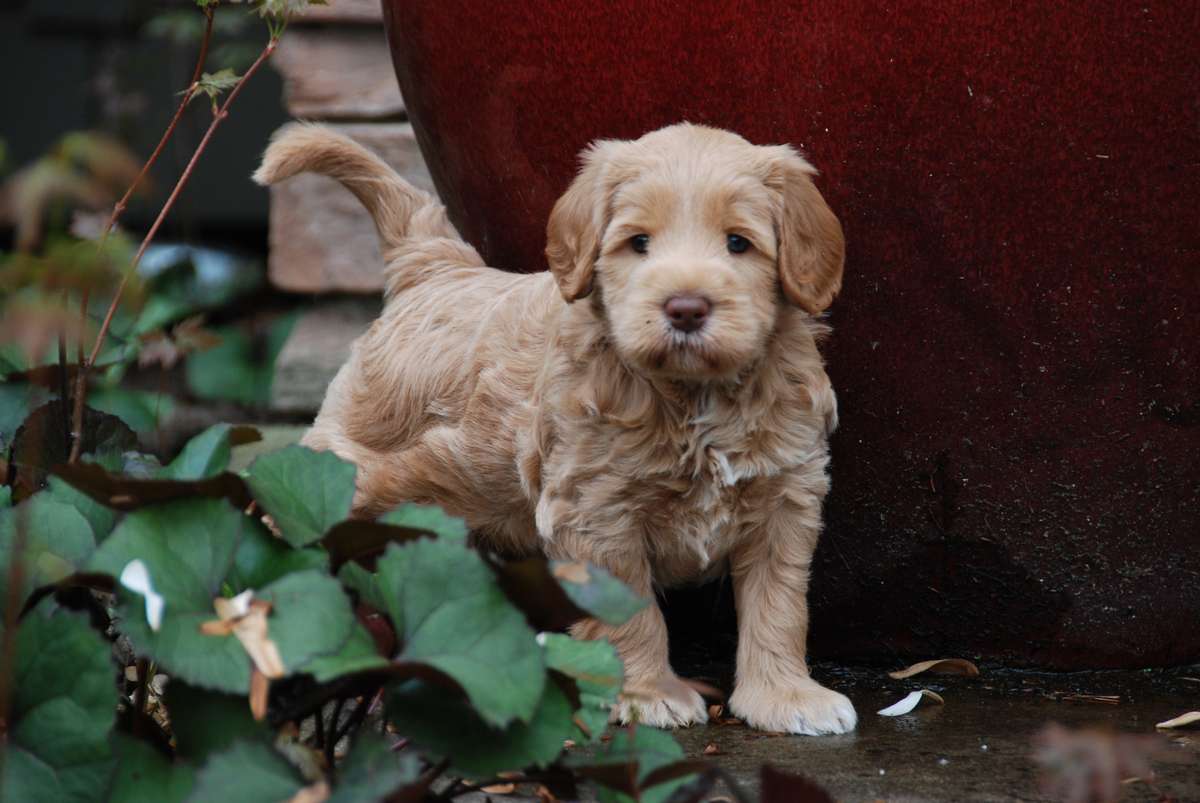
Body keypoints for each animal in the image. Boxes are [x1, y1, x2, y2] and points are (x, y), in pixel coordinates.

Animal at [253, 120, 854, 734]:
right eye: (639, 243)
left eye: (738, 243)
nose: (686, 308)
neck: (692, 396)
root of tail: (438, 267)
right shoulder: (596, 512)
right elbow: (631, 611)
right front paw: (646, 694)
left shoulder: (786, 502)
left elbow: (779, 605)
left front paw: (784, 697)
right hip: (350, 467)